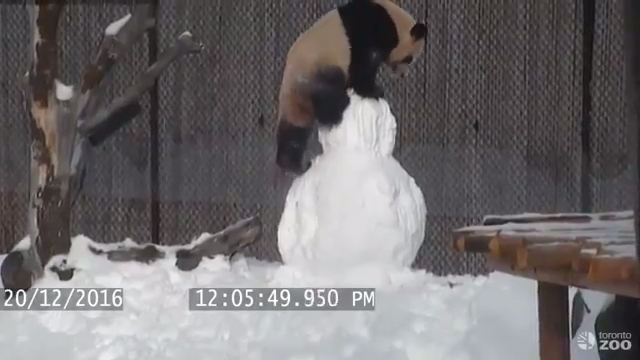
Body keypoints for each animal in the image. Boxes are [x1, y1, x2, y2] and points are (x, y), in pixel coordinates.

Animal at [274, 0, 424, 174]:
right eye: (409, 58)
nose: (402, 75)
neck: (394, 20)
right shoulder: (369, 27)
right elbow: (364, 63)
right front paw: (373, 91)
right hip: (320, 68)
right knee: (328, 95)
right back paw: (336, 111)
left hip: (299, 97)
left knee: (295, 129)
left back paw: (291, 163)